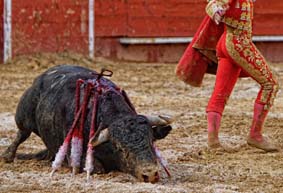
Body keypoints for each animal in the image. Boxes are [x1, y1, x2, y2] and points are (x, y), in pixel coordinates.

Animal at [1, 64, 173, 182]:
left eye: (151, 141)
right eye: (120, 148)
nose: (149, 174)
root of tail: (40, 77)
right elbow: (97, 168)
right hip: (24, 116)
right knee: (21, 134)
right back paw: (7, 156)